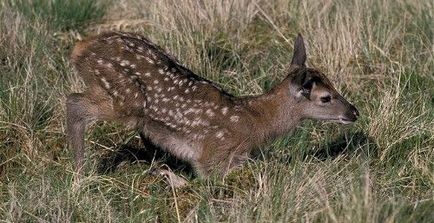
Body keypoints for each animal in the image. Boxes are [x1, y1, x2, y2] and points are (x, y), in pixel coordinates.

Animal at [67, 33, 360, 182]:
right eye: (325, 97)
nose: (354, 112)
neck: (257, 122)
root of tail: (79, 47)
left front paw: (165, 173)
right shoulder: (214, 154)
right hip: (124, 98)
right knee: (74, 103)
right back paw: (80, 175)